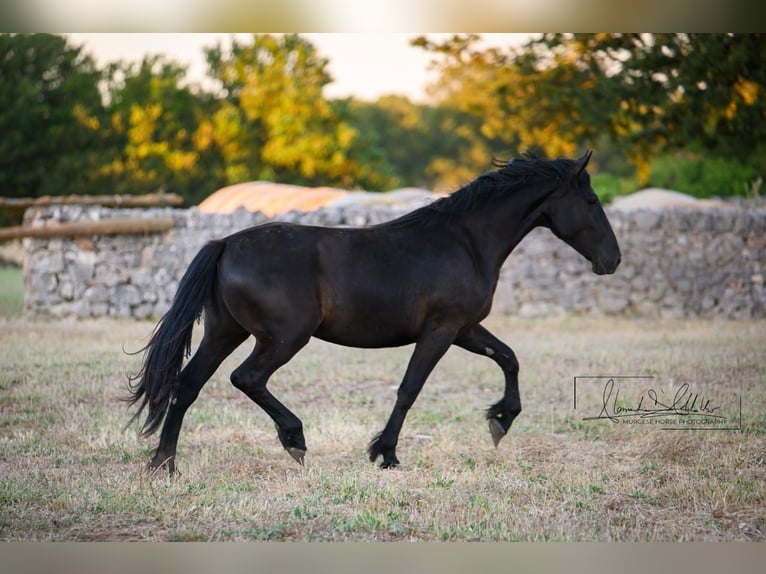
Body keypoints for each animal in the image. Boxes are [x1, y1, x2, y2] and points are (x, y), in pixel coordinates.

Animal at [127, 151, 620, 474]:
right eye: (592, 202)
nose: (612, 261)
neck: (465, 241)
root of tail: (226, 242)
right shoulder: (441, 330)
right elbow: (409, 388)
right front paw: (385, 453)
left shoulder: (465, 328)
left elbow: (509, 358)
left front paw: (500, 420)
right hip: (284, 338)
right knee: (245, 378)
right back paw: (294, 439)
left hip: (224, 332)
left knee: (187, 385)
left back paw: (164, 465)